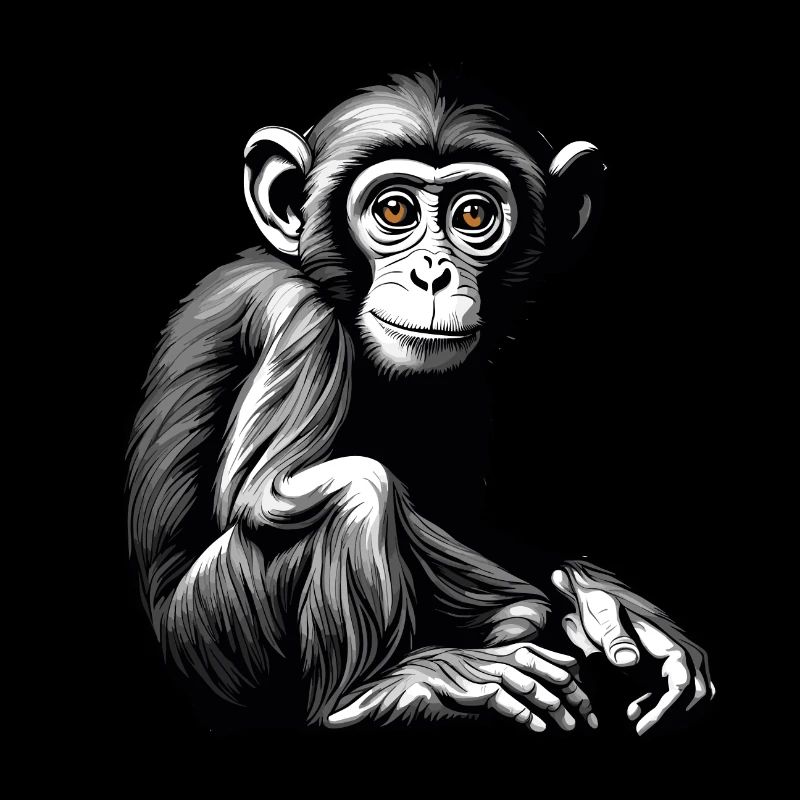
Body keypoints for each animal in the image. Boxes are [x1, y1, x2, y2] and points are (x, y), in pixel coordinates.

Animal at [127, 72, 713, 736]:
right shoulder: (298, 317)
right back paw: (378, 692)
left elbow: (460, 511)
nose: (431, 274)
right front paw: (514, 623)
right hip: (219, 639)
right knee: (356, 488)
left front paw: (604, 602)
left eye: (474, 213)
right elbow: (263, 493)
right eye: (394, 210)